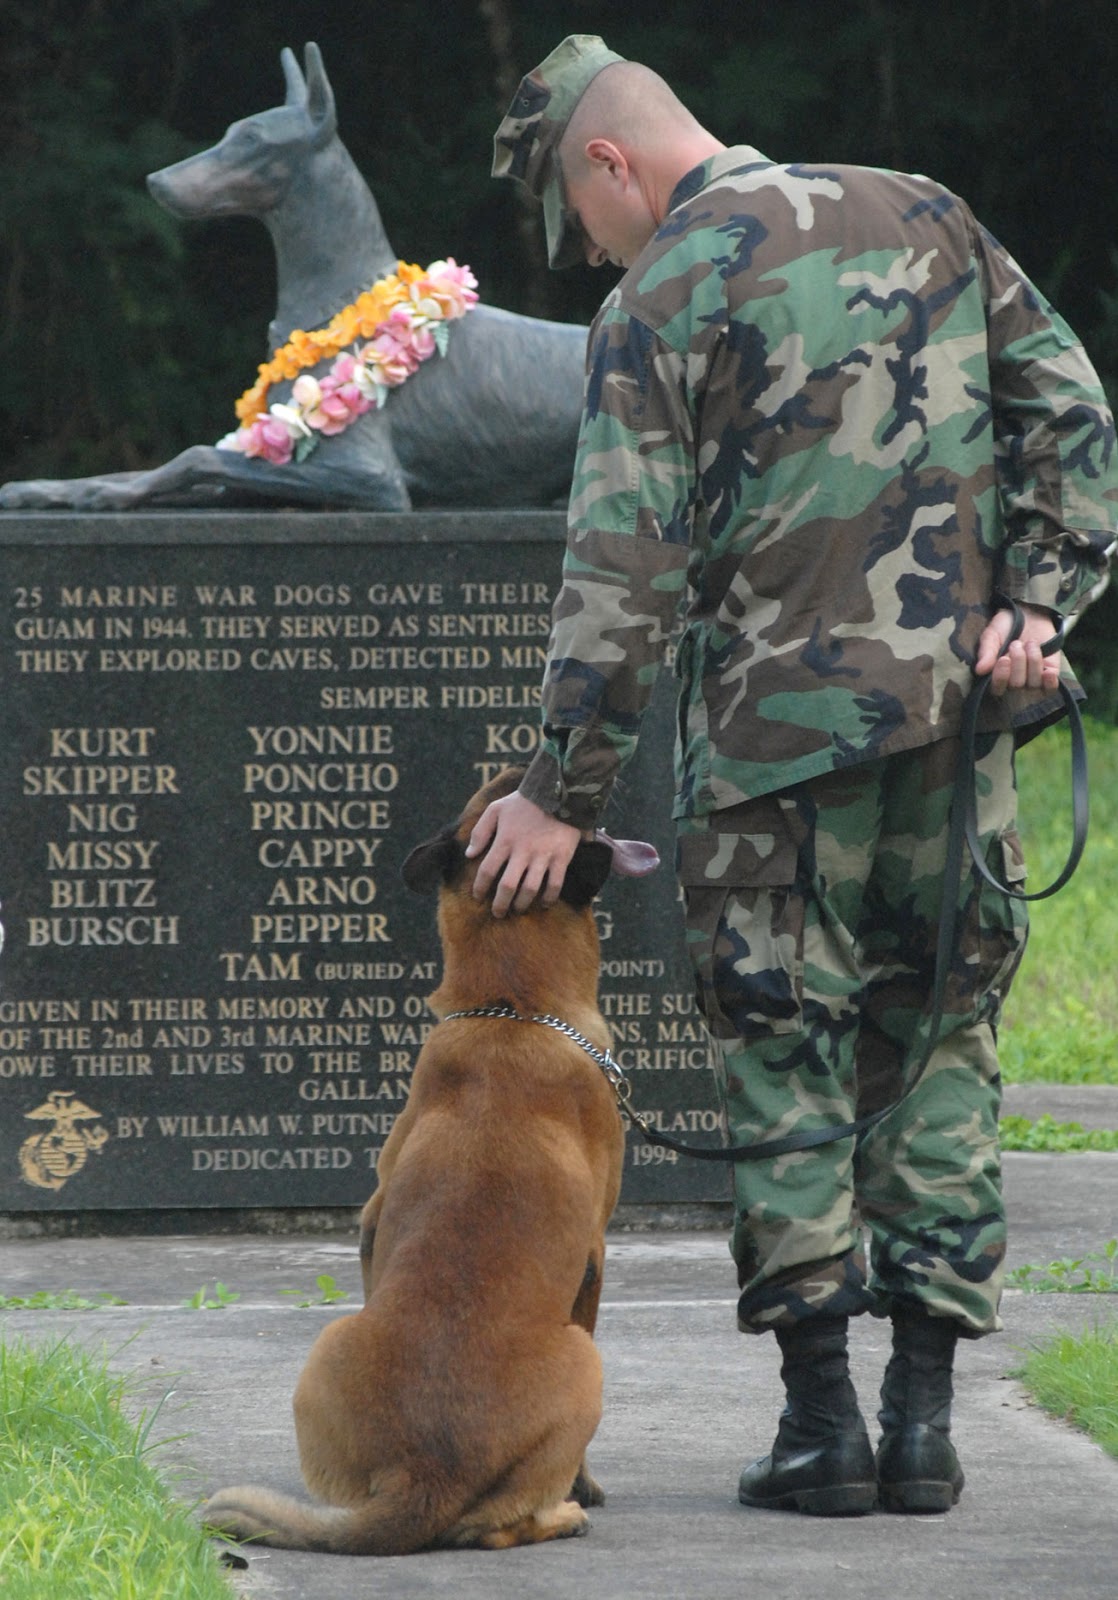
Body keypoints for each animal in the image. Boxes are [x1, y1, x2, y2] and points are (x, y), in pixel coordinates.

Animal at [206, 768, 655, 1555]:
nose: (534, 768)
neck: (511, 1006)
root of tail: (425, 1476)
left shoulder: (369, 1221)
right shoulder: (596, 1258)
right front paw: (586, 1487)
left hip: (328, 1344)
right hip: (585, 1363)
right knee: (496, 1528)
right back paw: (564, 1513)